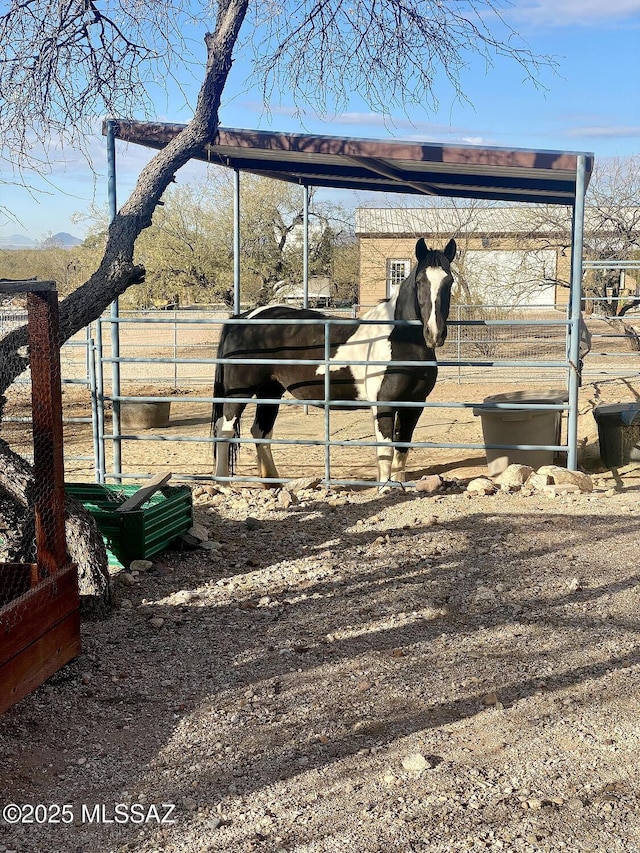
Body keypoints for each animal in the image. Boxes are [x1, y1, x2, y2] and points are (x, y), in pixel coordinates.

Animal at [214, 236, 456, 486]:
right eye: (420, 281)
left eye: (449, 281)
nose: (434, 334)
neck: (400, 339)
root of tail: (242, 319)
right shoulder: (384, 403)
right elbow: (385, 451)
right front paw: (384, 489)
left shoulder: (414, 405)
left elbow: (402, 450)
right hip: (239, 392)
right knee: (225, 428)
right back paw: (223, 484)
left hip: (270, 390)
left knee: (260, 430)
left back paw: (272, 482)